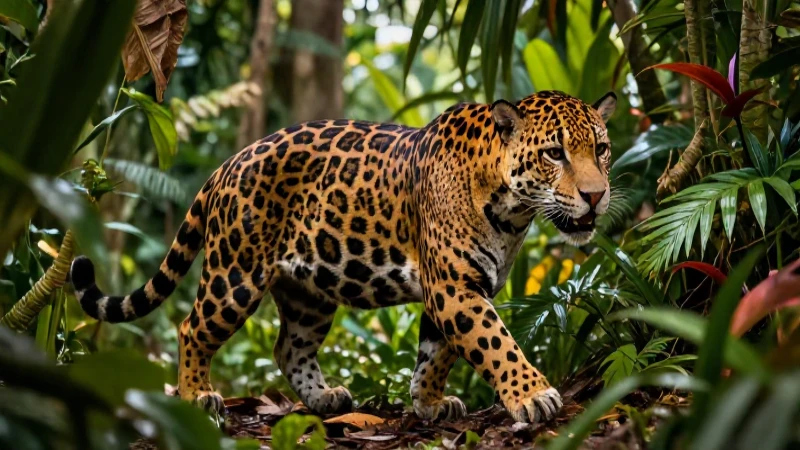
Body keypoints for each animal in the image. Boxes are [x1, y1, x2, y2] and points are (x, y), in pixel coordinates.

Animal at [70, 90, 616, 424]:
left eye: (603, 149)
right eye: (554, 154)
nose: (596, 196)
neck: (511, 210)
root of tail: (228, 162)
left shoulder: (455, 289)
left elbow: (435, 354)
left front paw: (429, 403)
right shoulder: (455, 288)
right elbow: (495, 343)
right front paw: (533, 395)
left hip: (309, 291)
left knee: (288, 348)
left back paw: (325, 398)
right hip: (234, 275)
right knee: (191, 327)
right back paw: (196, 395)